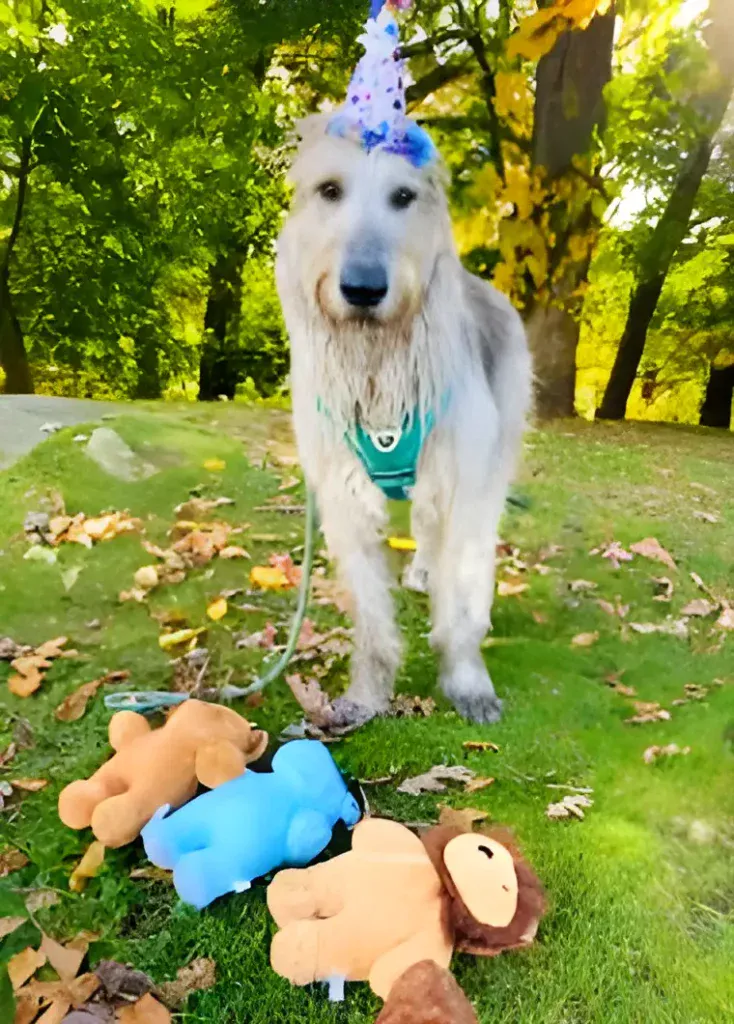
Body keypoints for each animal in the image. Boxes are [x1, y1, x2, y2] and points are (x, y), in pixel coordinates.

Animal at [278, 117, 528, 729]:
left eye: (403, 196)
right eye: (329, 190)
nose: (363, 289)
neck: (378, 363)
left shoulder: (463, 476)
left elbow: (461, 600)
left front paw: (466, 680)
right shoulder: (342, 497)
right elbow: (371, 615)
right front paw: (368, 694)